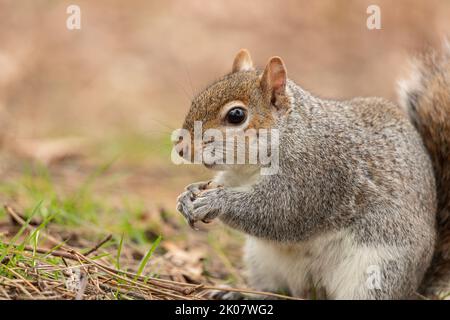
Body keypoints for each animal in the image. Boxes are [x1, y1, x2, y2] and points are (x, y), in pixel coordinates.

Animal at [174, 43, 448, 298]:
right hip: (260, 260)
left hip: (377, 271)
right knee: (275, 290)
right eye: (196, 100)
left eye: (236, 115)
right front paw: (188, 195)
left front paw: (215, 202)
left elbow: (280, 211)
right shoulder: (236, 175)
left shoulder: (315, 175)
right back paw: (240, 292)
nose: (181, 148)